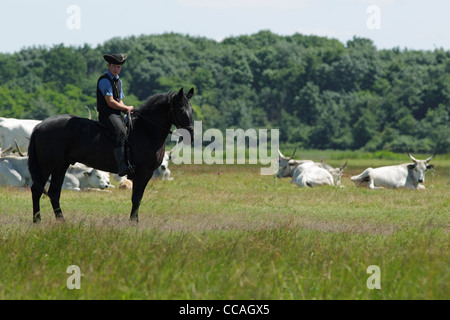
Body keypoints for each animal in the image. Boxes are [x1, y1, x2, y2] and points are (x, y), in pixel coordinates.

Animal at [27, 87, 193, 222]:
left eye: (191, 110)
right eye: (181, 109)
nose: (190, 135)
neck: (146, 130)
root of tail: (40, 125)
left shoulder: (148, 174)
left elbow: (139, 198)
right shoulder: (142, 172)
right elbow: (136, 198)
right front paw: (133, 223)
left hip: (61, 166)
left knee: (54, 193)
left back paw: (61, 221)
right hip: (46, 166)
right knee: (37, 190)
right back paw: (37, 221)